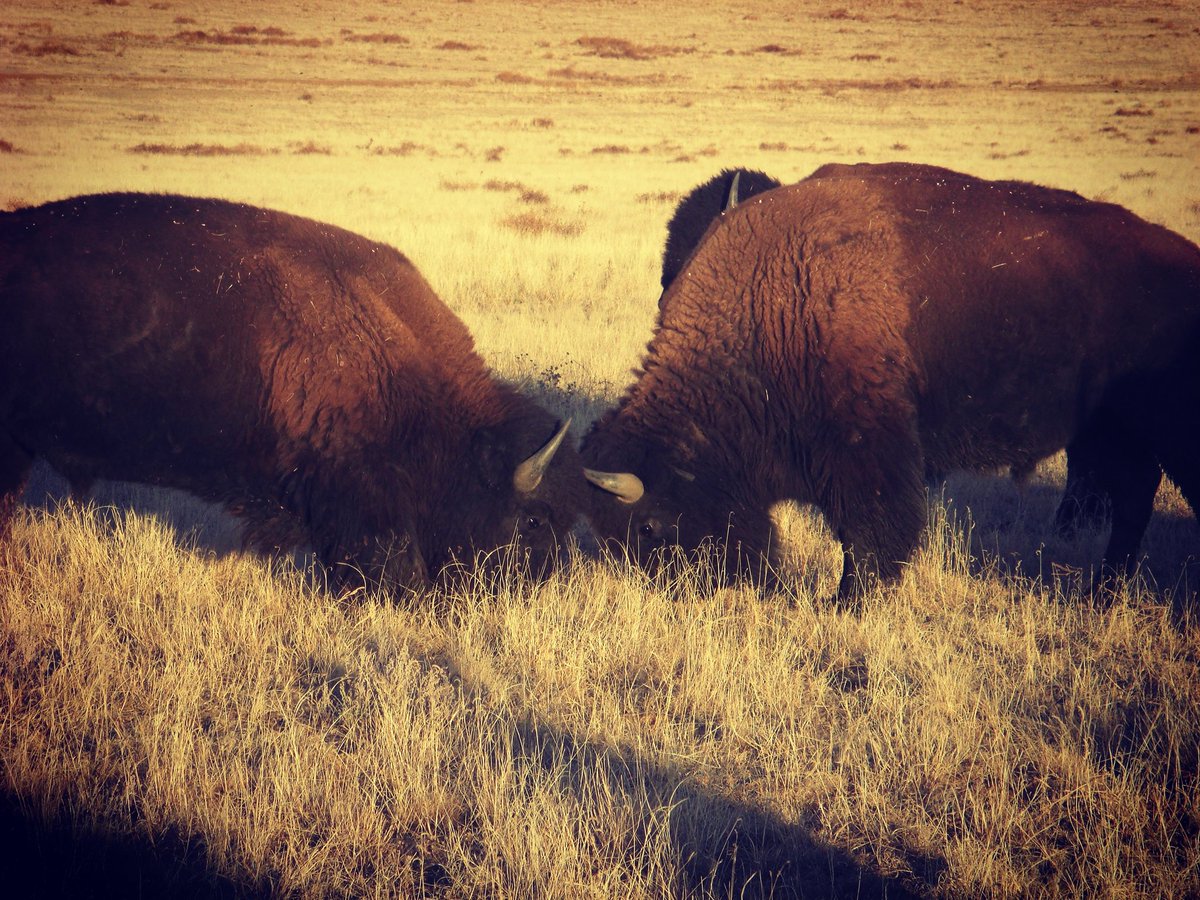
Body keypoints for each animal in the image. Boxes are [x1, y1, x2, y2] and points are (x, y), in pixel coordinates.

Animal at [582, 162, 1200, 602]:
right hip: (1114, 432)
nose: (688, 591)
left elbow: (871, 531)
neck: (771, 305)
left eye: (650, 526)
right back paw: (1103, 592)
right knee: (1132, 495)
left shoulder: (866, 444)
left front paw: (849, 603)